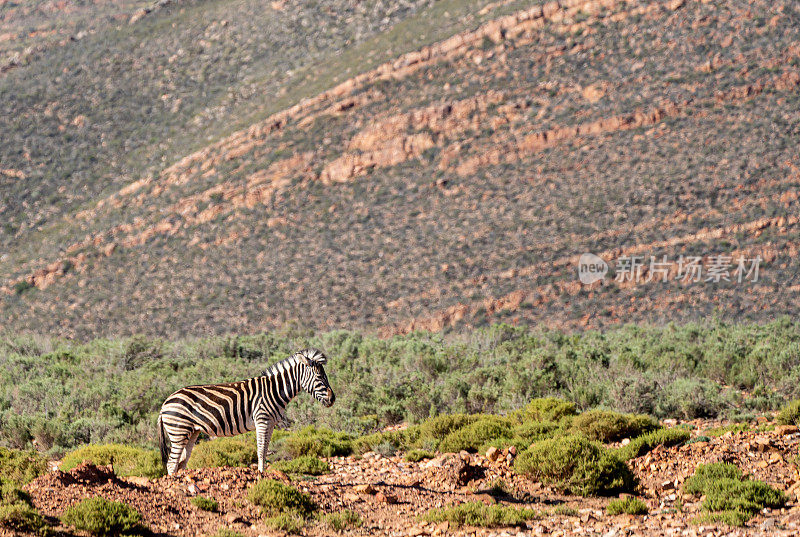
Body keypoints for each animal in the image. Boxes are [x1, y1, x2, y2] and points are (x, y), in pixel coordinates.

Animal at [159, 348, 334, 474]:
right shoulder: (262, 420)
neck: (274, 390)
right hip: (178, 431)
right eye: (319, 378)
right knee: (172, 463)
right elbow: (261, 449)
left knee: (181, 462)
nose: (333, 399)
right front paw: (261, 474)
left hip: (191, 432)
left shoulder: (271, 424)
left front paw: (263, 472)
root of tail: (165, 403)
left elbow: (265, 449)